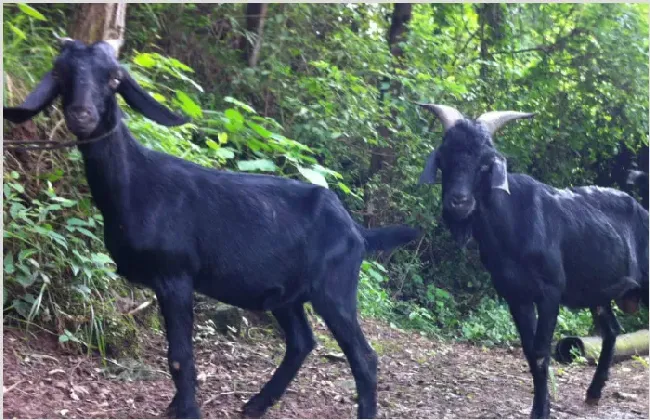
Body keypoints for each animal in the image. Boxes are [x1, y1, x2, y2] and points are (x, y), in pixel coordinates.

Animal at [3, 38, 420, 416]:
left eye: (113, 78)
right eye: (62, 74)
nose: (82, 115)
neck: (136, 184)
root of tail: (356, 230)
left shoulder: (175, 275)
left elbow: (179, 356)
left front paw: (186, 410)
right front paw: (177, 406)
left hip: (334, 289)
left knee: (364, 357)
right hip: (286, 295)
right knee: (301, 342)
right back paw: (256, 405)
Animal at [416, 104, 648, 416]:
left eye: (486, 163)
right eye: (443, 159)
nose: (458, 202)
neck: (513, 222)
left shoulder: (550, 293)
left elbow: (540, 352)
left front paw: (541, 411)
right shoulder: (516, 295)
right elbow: (528, 352)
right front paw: (540, 407)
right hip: (598, 293)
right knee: (612, 330)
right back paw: (593, 393)